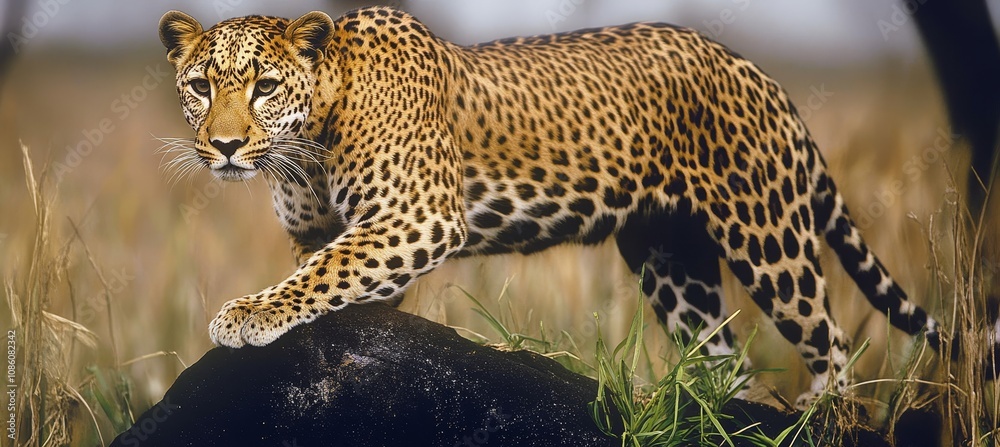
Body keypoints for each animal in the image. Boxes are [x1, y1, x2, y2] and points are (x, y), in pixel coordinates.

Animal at [158, 6, 955, 406]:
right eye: (200, 85)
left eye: (263, 86)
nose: (223, 146)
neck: (311, 138)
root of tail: (759, 73)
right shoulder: (325, 229)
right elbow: (328, 273)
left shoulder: (417, 217)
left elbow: (323, 273)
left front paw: (245, 315)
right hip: (671, 258)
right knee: (721, 353)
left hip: (768, 235)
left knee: (832, 339)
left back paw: (822, 415)